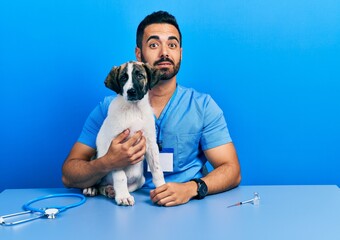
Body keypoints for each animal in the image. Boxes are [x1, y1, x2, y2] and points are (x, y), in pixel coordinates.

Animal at [83, 61, 166, 205]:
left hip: (140, 180)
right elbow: (120, 176)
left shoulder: (150, 143)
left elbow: (157, 169)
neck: (134, 109)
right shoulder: (116, 150)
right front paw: (123, 196)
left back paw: (109, 190)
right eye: (123, 78)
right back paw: (91, 188)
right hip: (96, 158)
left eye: (139, 75)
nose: (130, 91)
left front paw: (162, 188)